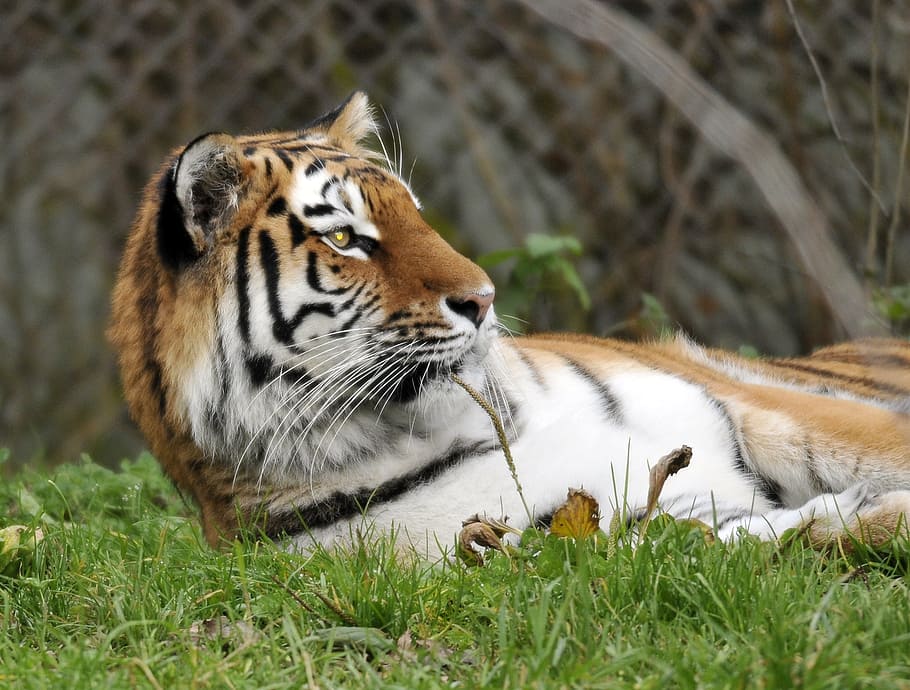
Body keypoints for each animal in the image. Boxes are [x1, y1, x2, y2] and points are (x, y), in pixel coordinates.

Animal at [110, 92, 910, 557]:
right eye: (344, 238)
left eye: (415, 213)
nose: (483, 298)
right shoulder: (607, 529)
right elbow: (780, 536)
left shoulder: (750, 407)